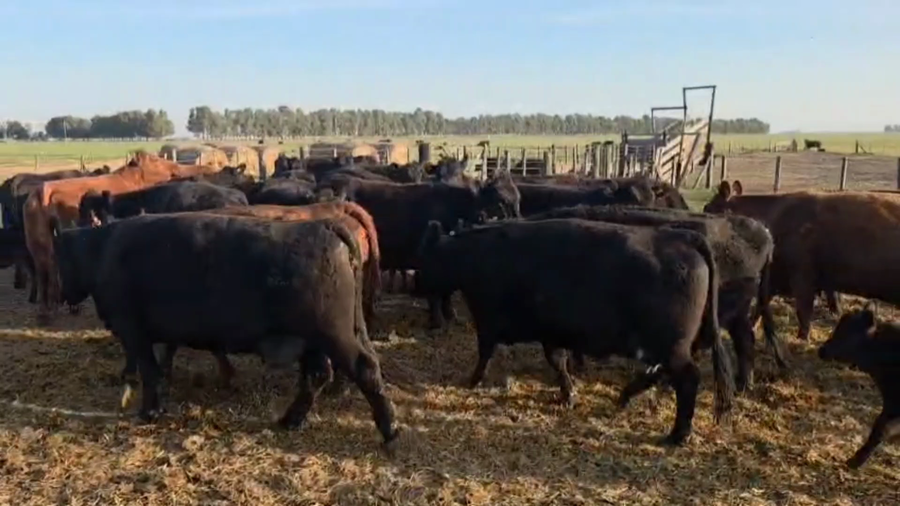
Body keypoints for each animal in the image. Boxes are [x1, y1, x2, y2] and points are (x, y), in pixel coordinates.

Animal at [23, 151, 220, 321]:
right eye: (156, 160)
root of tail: (41, 193)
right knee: (52, 269)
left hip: (36, 244)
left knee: (42, 271)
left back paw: (46, 311)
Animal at [50, 212, 399, 448]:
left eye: (58, 258)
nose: (61, 295)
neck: (103, 248)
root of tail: (325, 225)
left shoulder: (133, 330)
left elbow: (149, 370)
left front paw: (149, 411)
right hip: (315, 340)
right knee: (317, 376)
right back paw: (291, 420)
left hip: (334, 335)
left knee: (364, 369)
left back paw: (390, 430)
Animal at [413, 218, 735, 445]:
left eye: (424, 257)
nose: (414, 284)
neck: (475, 256)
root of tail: (682, 236)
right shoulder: (550, 333)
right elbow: (558, 363)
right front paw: (568, 394)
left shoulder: (489, 322)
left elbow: (485, 354)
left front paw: (472, 380)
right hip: (667, 346)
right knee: (660, 372)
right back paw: (626, 396)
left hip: (673, 347)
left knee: (687, 379)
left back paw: (678, 434)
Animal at [702, 181, 898, 340]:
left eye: (708, 209)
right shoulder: (776, 275)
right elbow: (761, 305)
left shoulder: (802, 276)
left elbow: (803, 311)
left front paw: (802, 340)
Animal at [818, 303, 900, 469]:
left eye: (848, 332)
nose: (822, 350)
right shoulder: (891, 404)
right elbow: (879, 427)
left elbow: (881, 430)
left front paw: (855, 461)